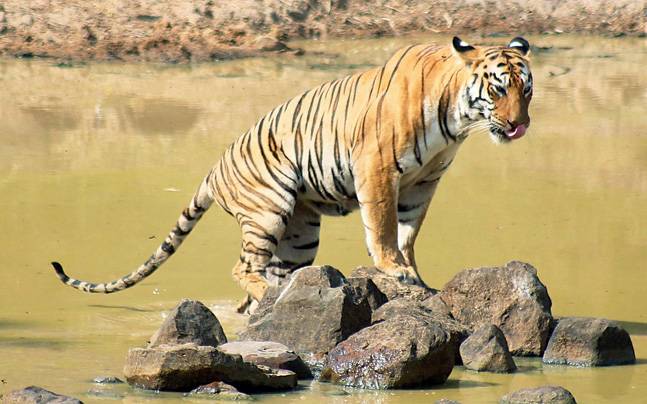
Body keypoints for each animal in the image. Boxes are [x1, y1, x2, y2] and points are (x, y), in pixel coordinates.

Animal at [52, 36, 533, 313]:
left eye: (526, 91)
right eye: (498, 89)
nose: (519, 125)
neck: (458, 118)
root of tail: (212, 170)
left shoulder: (424, 182)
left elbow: (407, 232)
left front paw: (414, 275)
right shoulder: (377, 168)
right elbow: (381, 227)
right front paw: (394, 271)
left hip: (299, 234)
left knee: (270, 279)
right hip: (268, 208)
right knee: (242, 266)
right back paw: (266, 295)